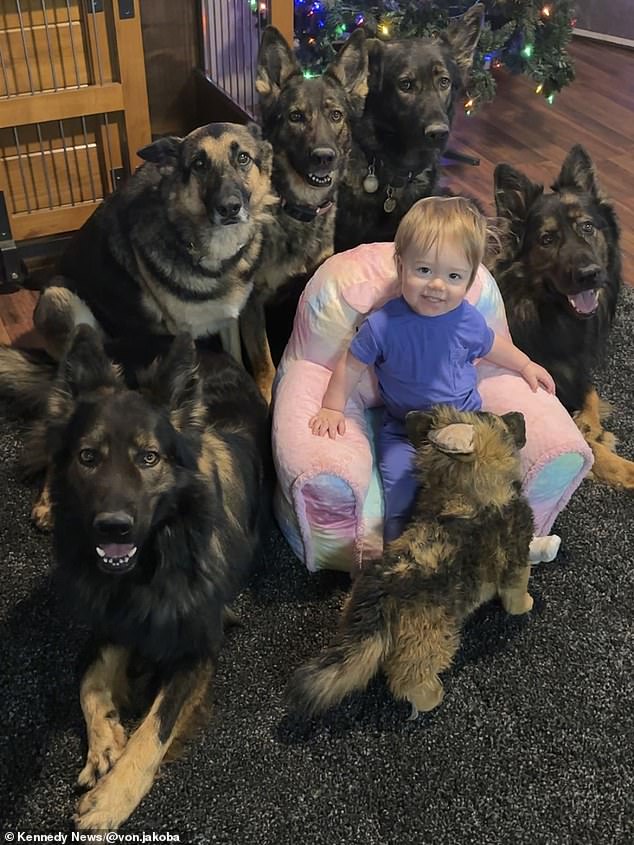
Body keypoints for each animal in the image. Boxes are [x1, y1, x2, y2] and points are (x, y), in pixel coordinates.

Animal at [10, 326, 266, 828]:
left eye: (149, 458)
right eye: (89, 457)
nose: (113, 527)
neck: (154, 561)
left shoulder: (196, 646)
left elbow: (153, 730)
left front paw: (112, 797)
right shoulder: (111, 621)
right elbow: (89, 680)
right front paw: (104, 742)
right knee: (48, 453)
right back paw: (47, 502)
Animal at [246, 26, 366, 396]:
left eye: (336, 115)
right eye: (296, 116)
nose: (325, 156)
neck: (297, 209)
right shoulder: (252, 304)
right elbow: (265, 366)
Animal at [286, 406, 532, 716]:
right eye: (497, 419)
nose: (521, 414)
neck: (467, 489)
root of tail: (382, 594)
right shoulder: (518, 561)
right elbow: (516, 593)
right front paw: (525, 605)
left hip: (355, 610)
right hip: (427, 639)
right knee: (408, 677)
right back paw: (430, 697)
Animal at [494, 143, 632, 488]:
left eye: (587, 227)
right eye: (547, 239)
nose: (589, 275)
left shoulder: (576, 363)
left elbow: (589, 389)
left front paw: (590, 423)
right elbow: (596, 453)